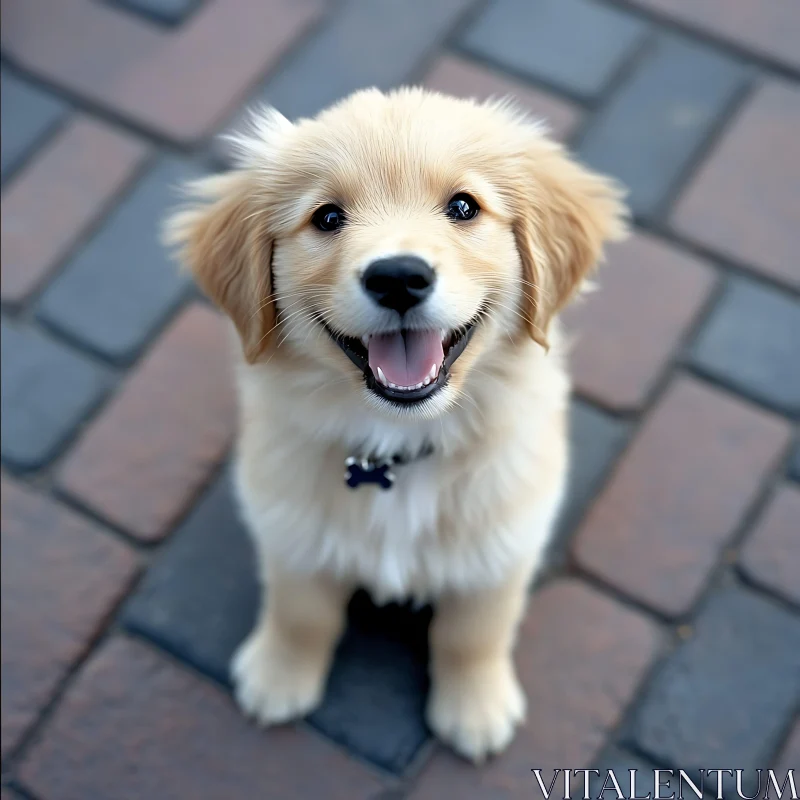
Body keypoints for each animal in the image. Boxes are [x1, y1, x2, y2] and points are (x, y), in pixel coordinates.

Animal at [164, 87, 624, 764]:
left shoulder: (506, 539)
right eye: (327, 217)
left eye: (463, 206)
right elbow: (301, 612)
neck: (399, 446)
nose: (399, 277)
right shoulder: (287, 524)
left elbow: (474, 631)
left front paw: (475, 709)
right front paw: (278, 675)